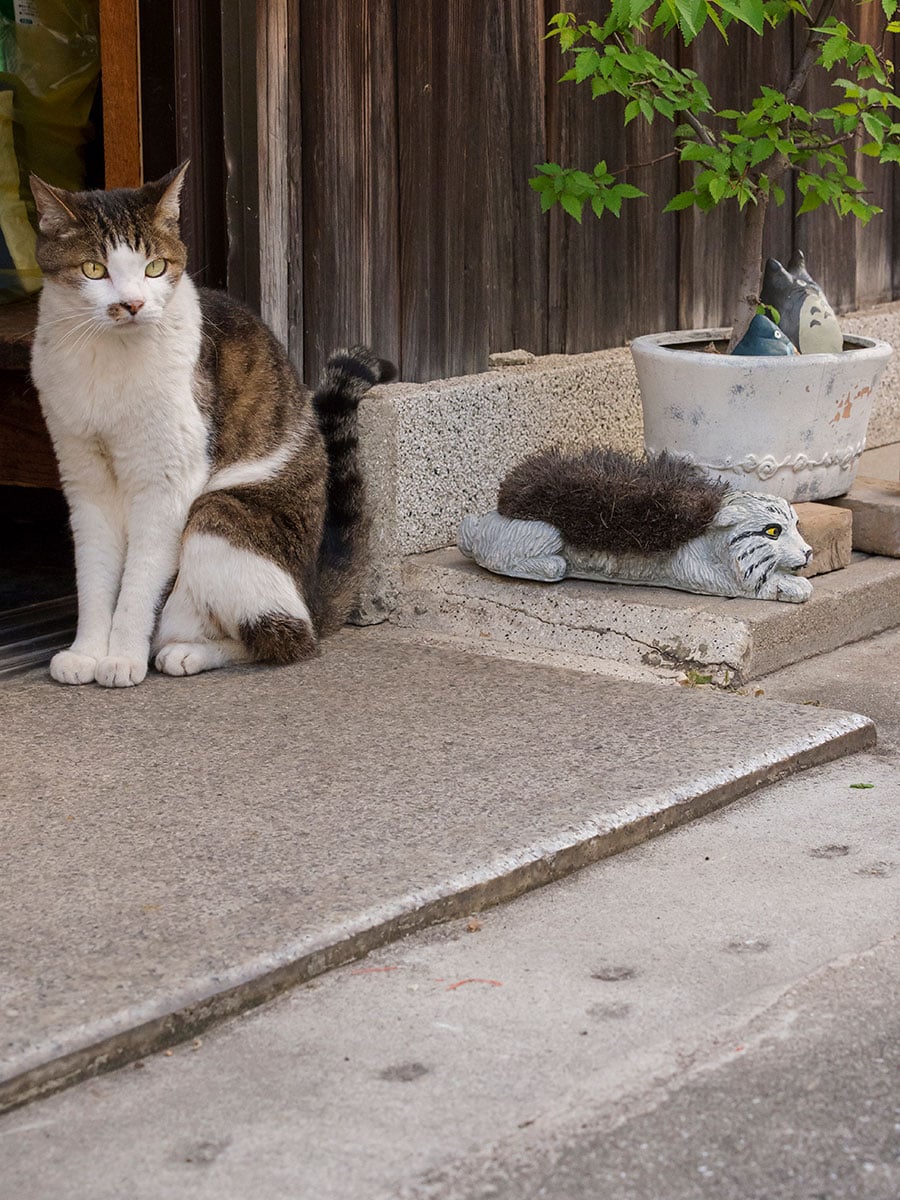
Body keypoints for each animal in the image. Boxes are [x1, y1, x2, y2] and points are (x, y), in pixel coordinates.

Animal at [30, 162, 393, 686]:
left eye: (155, 267)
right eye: (94, 270)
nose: (132, 304)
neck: (107, 359)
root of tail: (311, 591)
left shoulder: (167, 481)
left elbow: (138, 583)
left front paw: (121, 658)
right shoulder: (84, 478)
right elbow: (96, 577)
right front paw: (86, 653)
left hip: (218, 516)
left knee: (288, 636)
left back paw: (185, 653)